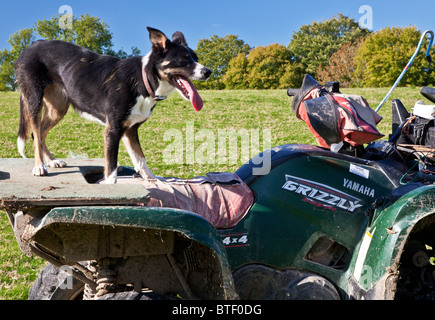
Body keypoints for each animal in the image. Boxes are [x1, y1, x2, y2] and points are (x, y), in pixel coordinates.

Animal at [14, 27, 211, 182]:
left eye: (195, 58)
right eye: (184, 59)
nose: (208, 71)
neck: (143, 80)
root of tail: (29, 47)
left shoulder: (130, 130)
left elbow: (140, 159)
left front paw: (154, 181)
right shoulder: (113, 130)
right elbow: (111, 171)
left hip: (58, 108)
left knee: (39, 133)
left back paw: (51, 161)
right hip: (34, 100)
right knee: (36, 131)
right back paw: (40, 166)